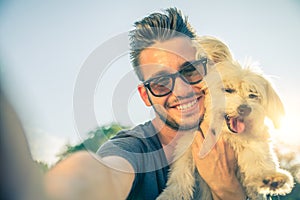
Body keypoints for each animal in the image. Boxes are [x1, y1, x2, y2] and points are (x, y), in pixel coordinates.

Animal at [158, 37, 294, 200]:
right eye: (228, 90)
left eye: (253, 95)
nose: (245, 109)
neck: (226, 134)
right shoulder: (187, 145)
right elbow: (181, 174)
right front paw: (171, 194)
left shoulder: (253, 143)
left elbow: (258, 159)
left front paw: (271, 178)